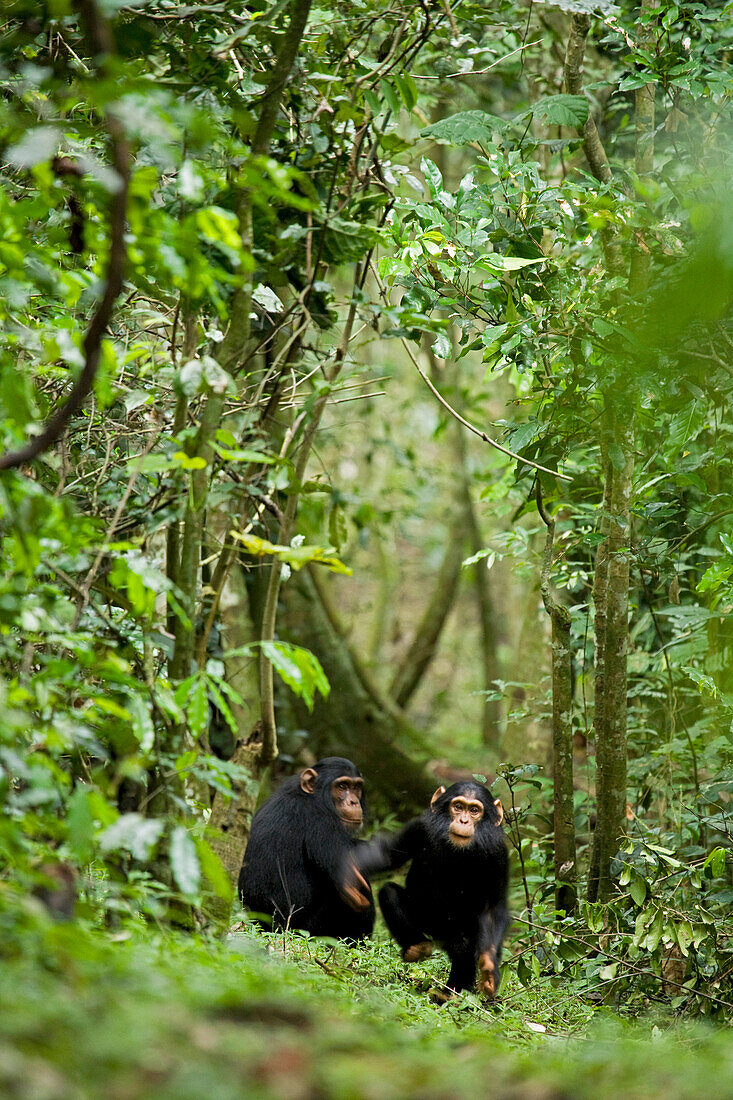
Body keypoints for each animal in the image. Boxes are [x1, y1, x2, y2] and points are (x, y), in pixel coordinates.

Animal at [239, 756, 374, 946]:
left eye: (356, 787)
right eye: (342, 786)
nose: (353, 801)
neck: (313, 797)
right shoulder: (322, 824)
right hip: (309, 930)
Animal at [354, 778, 508, 1003]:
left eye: (474, 811)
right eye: (458, 806)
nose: (463, 821)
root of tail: (439, 938)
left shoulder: (498, 851)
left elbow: (494, 907)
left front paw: (489, 969)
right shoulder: (419, 826)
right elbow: (389, 856)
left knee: (463, 947)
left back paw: (451, 994)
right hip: (425, 921)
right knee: (389, 893)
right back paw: (417, 948)